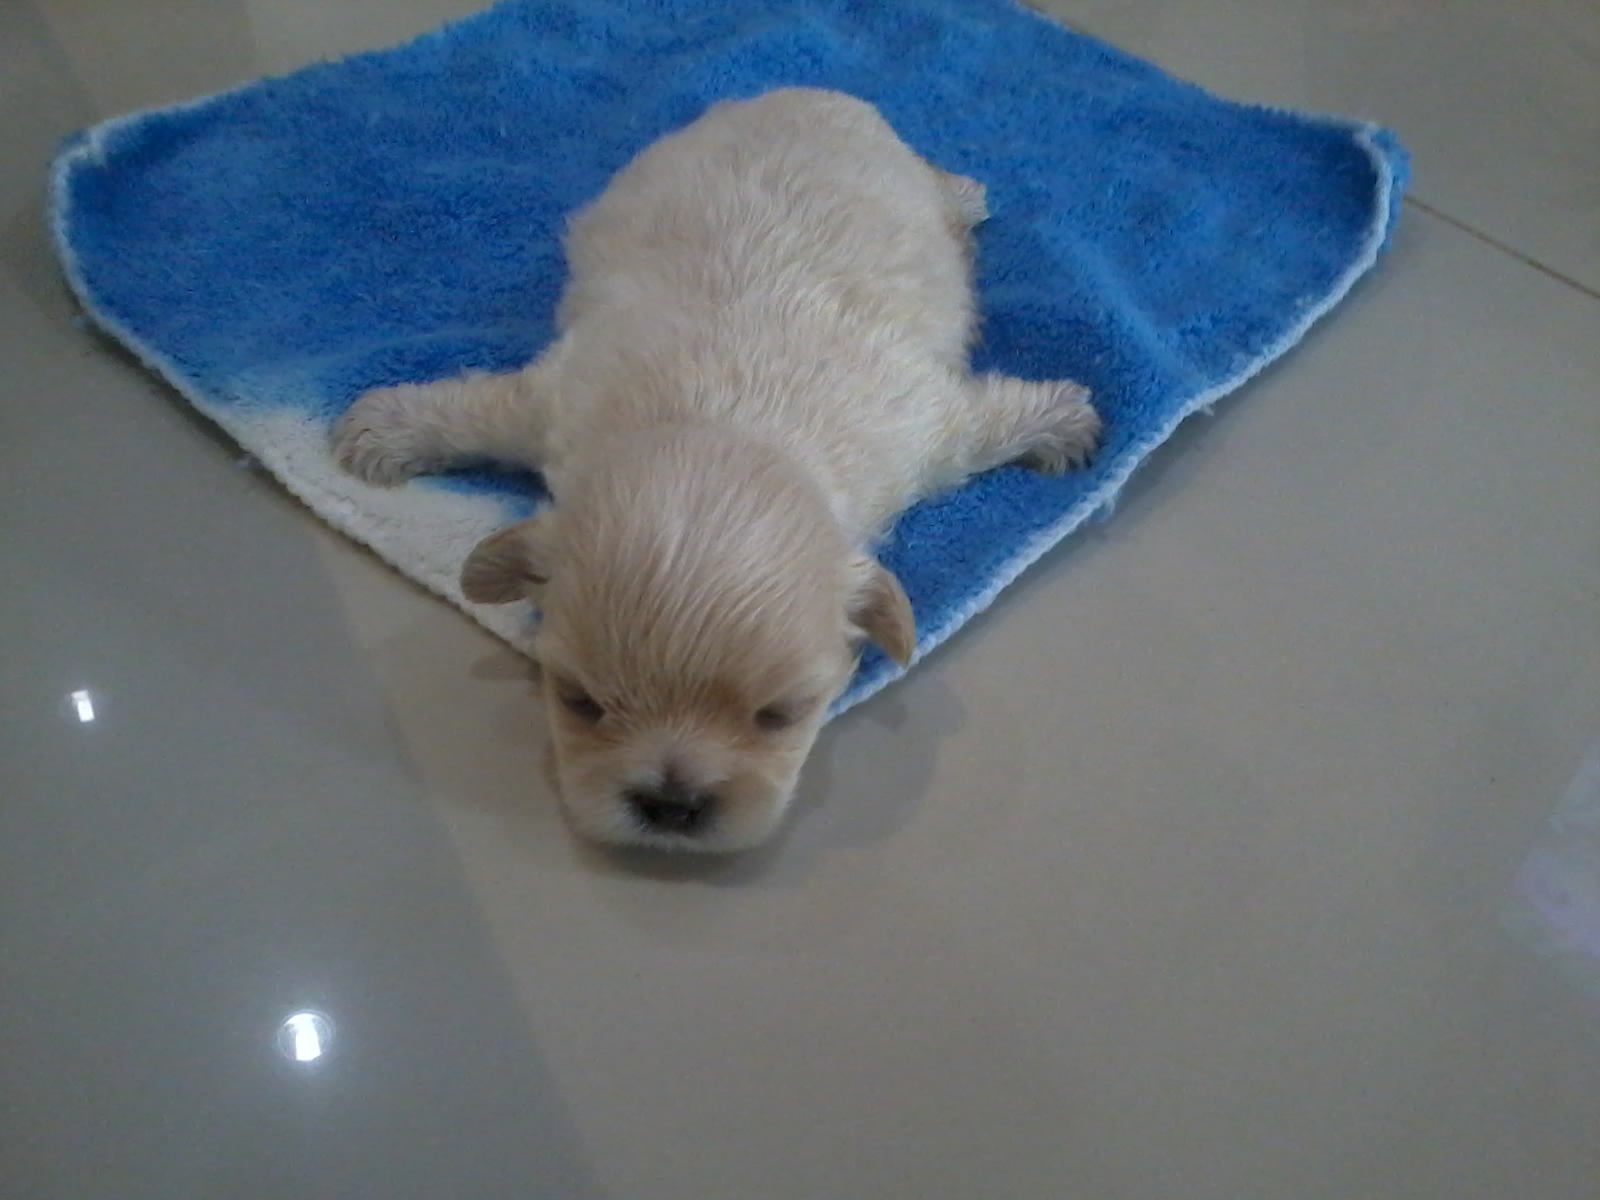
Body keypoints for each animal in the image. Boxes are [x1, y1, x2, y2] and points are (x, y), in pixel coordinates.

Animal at [332, 88, 1099, 852]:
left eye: (781, 714)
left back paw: (963, 197)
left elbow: (981, 423)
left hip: (897, 171)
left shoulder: (919, 429)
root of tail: (811, 90)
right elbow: (478, 409)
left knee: (936, 189)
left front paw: (1065, 421)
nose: (671, 804)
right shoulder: (558, 398)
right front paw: (384, 427)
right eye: (580, 703)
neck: (719, 420)